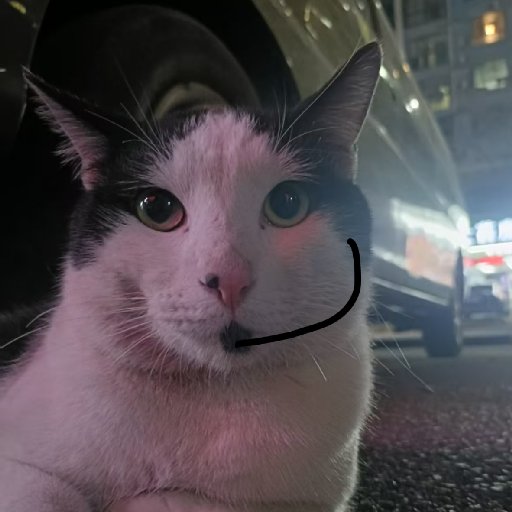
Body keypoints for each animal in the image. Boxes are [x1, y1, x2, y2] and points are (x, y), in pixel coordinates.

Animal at [0, 42, 381, 512]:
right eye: (156, 208)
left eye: (288, 204)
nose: (230, 279)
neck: (210, 396)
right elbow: (46, 489)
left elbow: (177, 501)